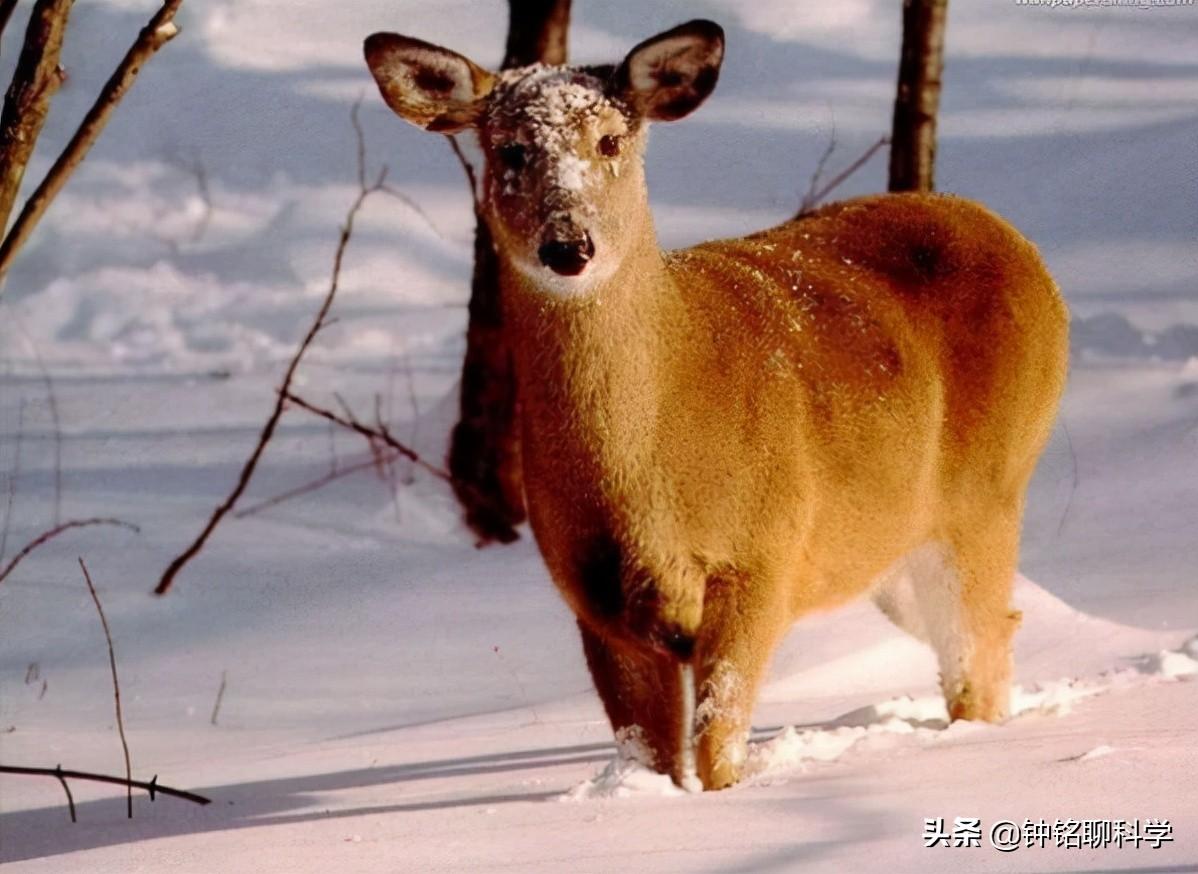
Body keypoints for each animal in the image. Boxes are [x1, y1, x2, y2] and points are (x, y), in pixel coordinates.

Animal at [361, 17, 1068, 790]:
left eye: (611, 141)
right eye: (510, 148)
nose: (568, 247)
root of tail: (1012, 241)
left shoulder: (761, 554)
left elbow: (717, 742)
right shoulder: (591, 596)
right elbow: (649, 757)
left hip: (988, 492)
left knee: (979, 649)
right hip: (892, 545)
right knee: (991, 632)